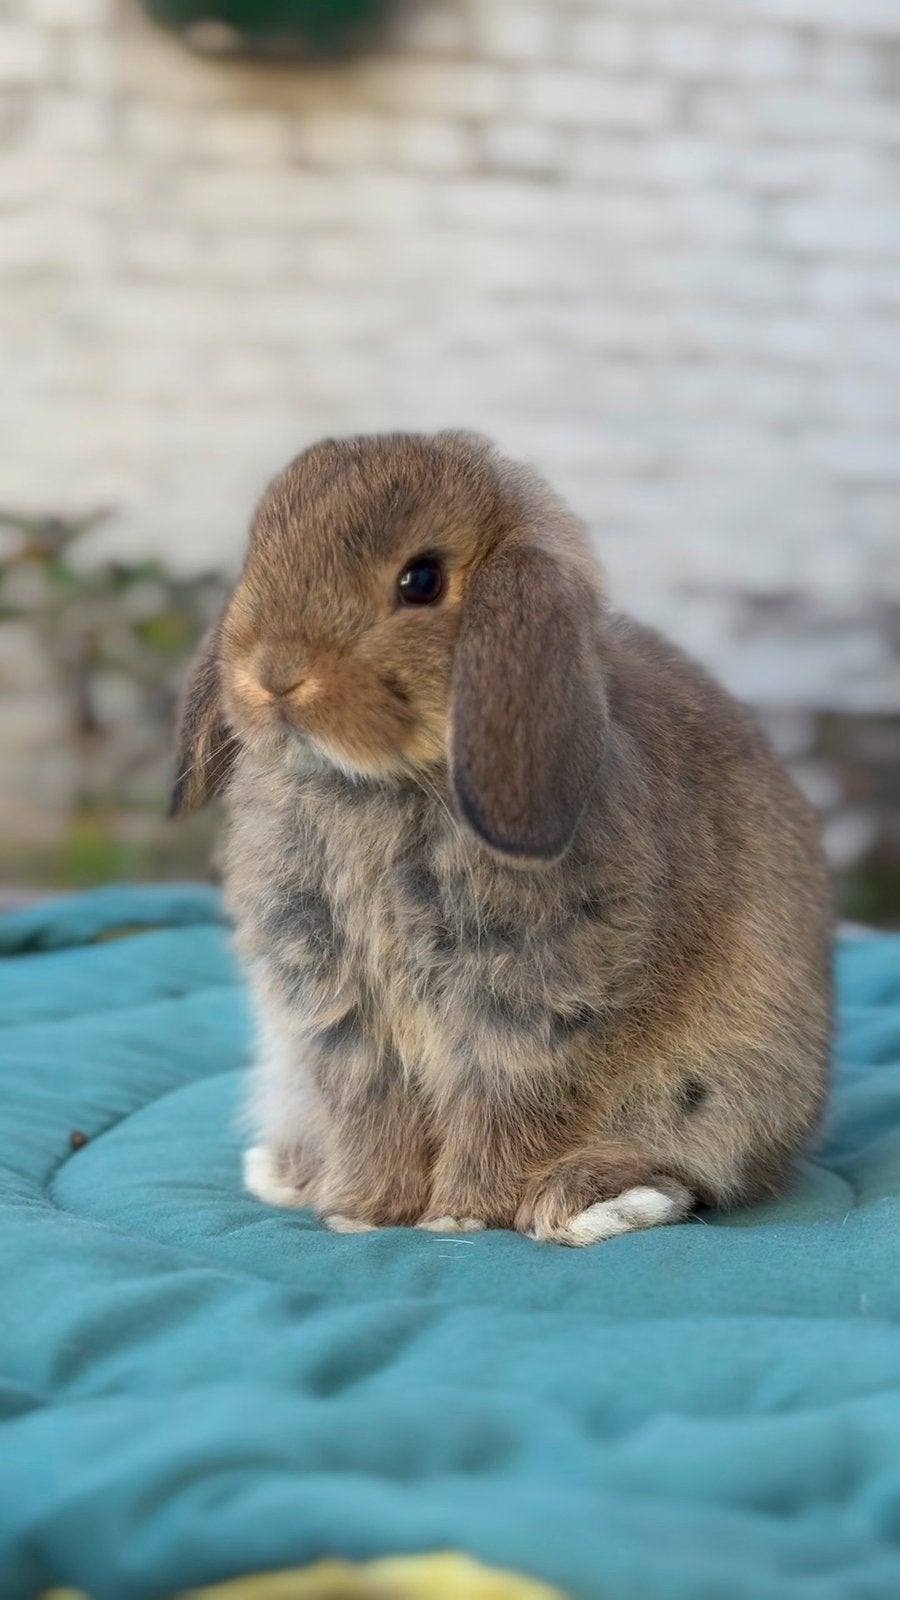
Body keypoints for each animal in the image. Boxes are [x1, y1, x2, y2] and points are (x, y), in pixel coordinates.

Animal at [170, 430, 832, 1246]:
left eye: (421, 581)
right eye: (256, 557)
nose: (273, 675)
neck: (384, 784)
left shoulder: (528, 1011)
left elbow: (498, 1110)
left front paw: (460, 1215)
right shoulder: (342, 1017)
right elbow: (371, 1113)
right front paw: (361, 1211)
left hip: (713, 1083)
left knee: (686, 1168)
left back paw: (585, 1203)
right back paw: (290, 1171)